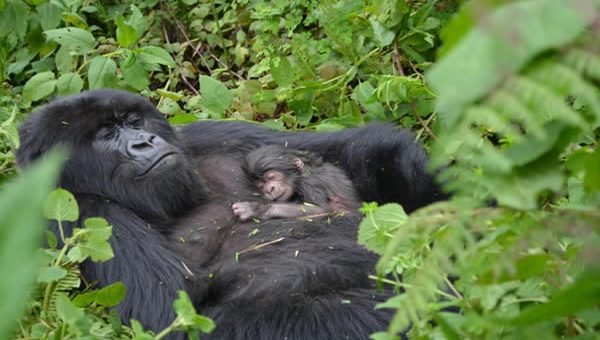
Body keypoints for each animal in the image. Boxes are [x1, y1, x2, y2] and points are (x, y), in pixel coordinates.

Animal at [16, 89, 442, 338]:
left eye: (133, 121)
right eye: (106, 135)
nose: (144, 142)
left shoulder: (200, 135)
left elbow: (350, 150)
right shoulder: (81, 213)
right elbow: (179, 316)